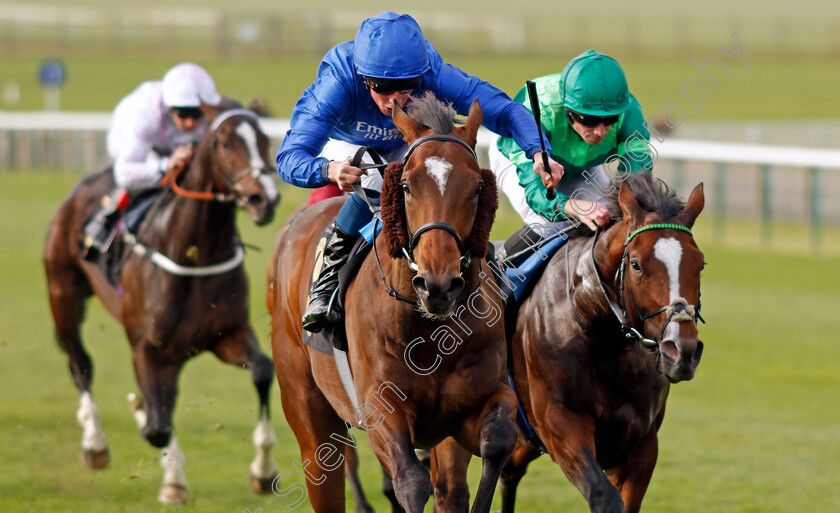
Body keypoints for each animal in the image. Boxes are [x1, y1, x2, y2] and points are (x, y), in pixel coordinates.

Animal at [270, 94, 520, 512]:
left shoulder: (473, 407)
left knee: (451, 487)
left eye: (476, 188)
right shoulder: (381, 411)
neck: (428, 331)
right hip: (306, 408)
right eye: (405, 186)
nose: (438, 285)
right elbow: (410, 481)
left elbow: (498, 441)